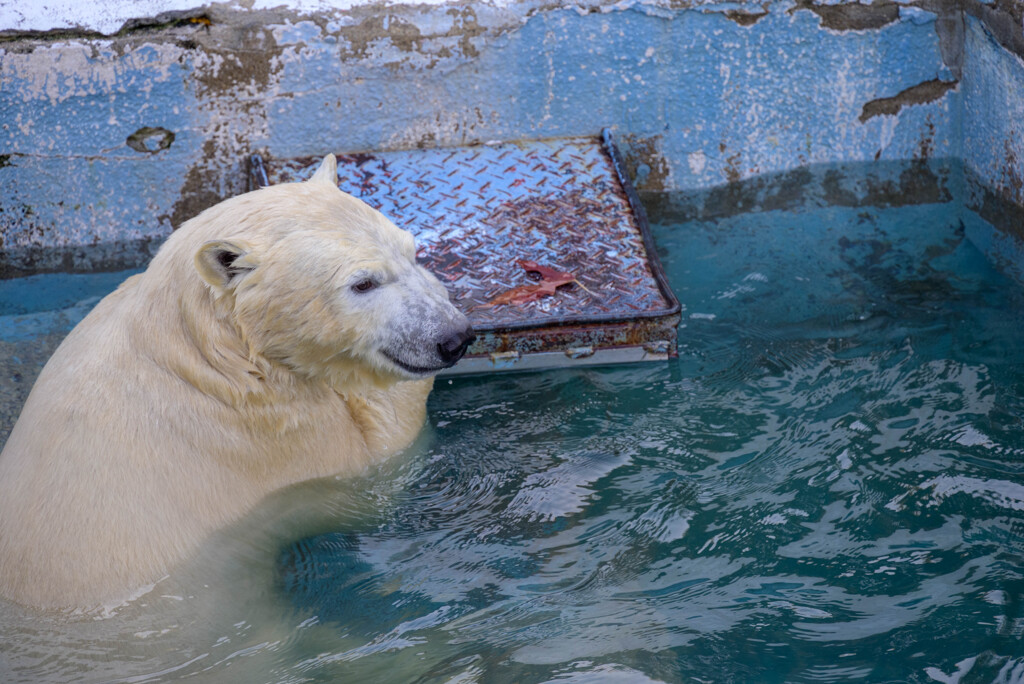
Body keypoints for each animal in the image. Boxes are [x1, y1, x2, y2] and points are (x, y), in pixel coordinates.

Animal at [0, 156, 475, 610]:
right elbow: (379, 443)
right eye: (363, 283)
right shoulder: (274, 434)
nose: (454, 338)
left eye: (410, 252)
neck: (204, 354)